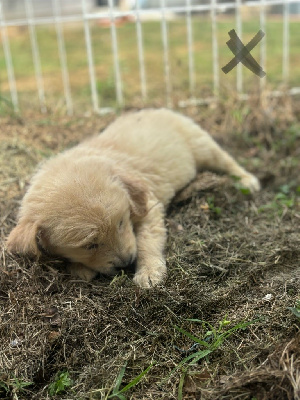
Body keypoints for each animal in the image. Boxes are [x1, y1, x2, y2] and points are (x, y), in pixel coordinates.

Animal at [7, 108, 260, 286]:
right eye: (90, 245)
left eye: (120, 223)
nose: (126, 263)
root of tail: (158, 109)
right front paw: (79, 268)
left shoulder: (148, 206)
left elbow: (147, 240)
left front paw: (148, 272)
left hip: (203, 146)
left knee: (228, 161)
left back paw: (248, 180)